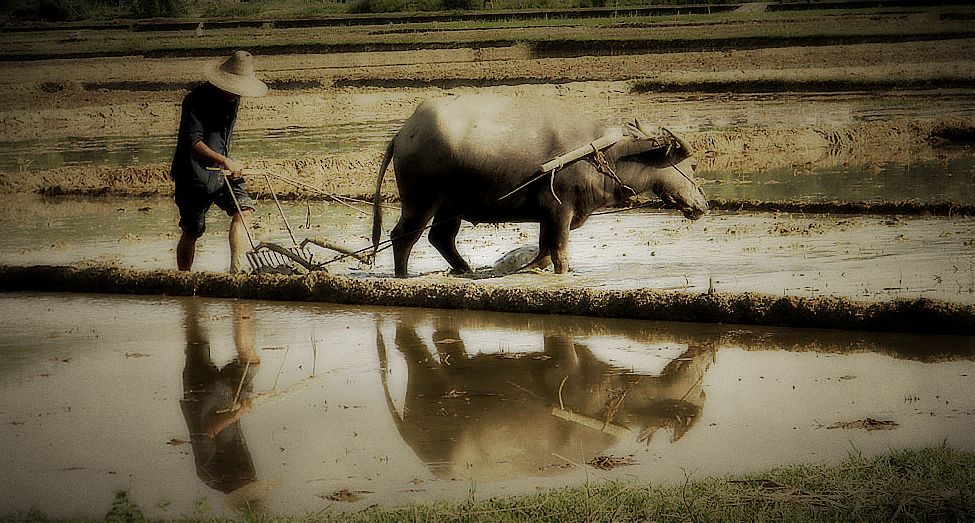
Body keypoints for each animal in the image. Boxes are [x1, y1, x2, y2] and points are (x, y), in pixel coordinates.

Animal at [374, 93, 708, 278]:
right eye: (691, 166)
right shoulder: (560, 212)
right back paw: (403, 276)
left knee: (441, 238)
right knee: (403, 236)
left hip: (450, 205)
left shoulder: (550, 217)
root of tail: (402, 134)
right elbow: (559, 254)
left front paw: (529, 268)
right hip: (420, 201)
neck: (600, 155)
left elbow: (545, 252)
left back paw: (466, 270)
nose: (703, 205)